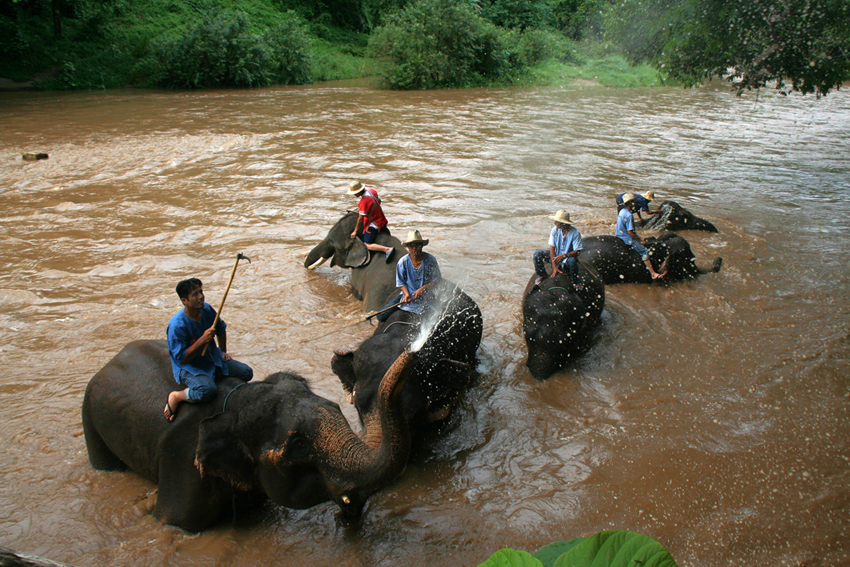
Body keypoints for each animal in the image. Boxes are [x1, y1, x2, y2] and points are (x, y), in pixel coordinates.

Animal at [84, 342, 416, 532]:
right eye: (298, 445)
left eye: (335, 407)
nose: (412, 350)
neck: (235, 401)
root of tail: (110, 361)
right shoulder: (182, 464)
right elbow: (170, 521)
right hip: (89, 417)